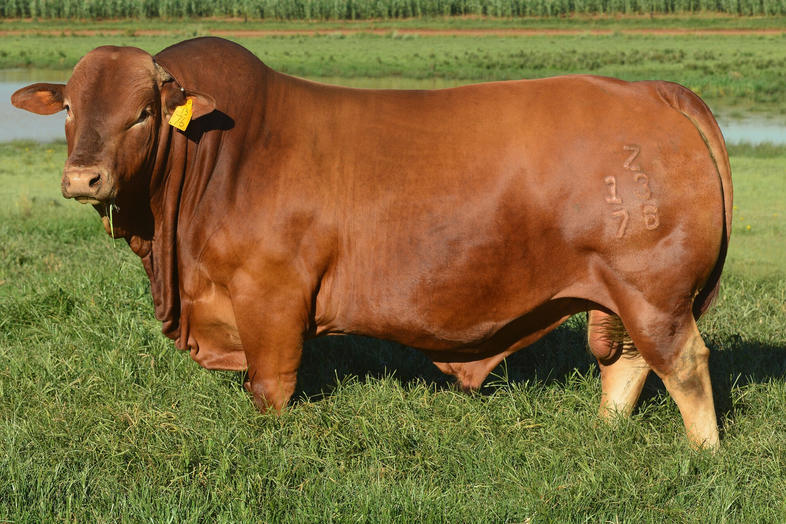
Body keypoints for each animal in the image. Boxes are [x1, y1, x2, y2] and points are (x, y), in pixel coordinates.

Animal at [13, 36, 728, 448]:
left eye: (142, 113)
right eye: (71, 107)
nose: (82, 177)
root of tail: (651, 90)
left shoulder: (270, 297)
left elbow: (271, 387)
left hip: (653, 289)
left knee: (684, 363)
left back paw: (703, 454)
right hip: (623, 292)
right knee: (628, 362)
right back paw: (606, 433)